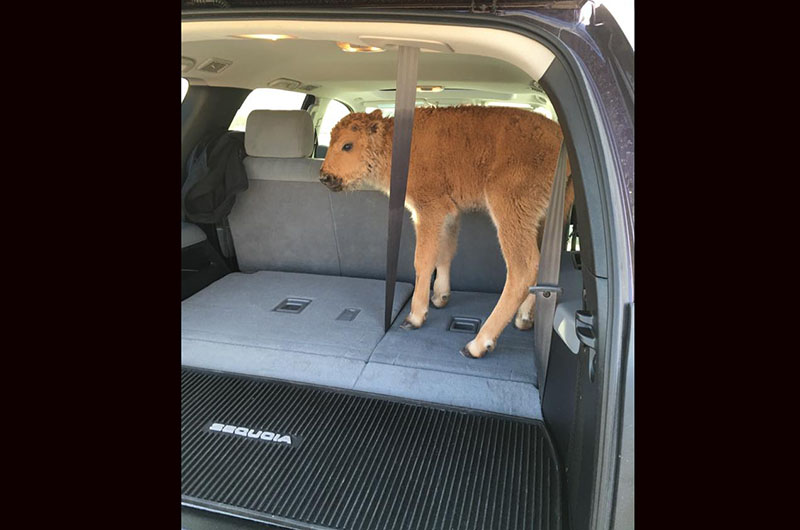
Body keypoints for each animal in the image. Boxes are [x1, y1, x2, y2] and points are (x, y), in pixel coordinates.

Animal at [316, 105, 572, 356]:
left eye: (347, 145)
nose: (325, 177)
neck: (392, 144)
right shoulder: (450, 213)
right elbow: (445, 252)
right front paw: (441, 297)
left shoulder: (429, 210)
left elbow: (423, 259)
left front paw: (415, 316)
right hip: (548, 218)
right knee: (544, 265)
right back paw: (524, 318)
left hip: (511, 211)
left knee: (523, 268)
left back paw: (478, 344)